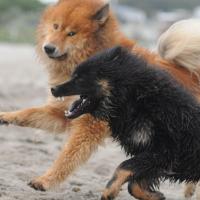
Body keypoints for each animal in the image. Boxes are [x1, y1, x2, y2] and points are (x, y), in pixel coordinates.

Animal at [51, 46, 200, 199]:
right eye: (73, 75)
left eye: (80, 78)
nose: (53, 89)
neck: (134, 99)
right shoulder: (152, 156)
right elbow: (133, 184)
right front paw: (155, 195)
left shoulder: (164, 151)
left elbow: (124, 167)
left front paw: (110, 191)